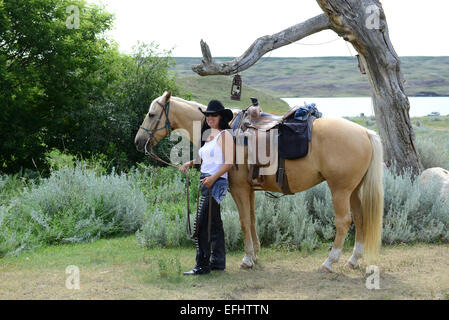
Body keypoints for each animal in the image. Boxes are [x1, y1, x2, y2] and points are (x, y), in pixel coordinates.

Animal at [135, 92, 384, 272]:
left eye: (151, 114)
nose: (138, 141)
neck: (226, 130)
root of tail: (365, 132)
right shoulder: (250, 190)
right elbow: (253, 220)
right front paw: (255, 254)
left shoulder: (239, 189)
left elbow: (245, 221)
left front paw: (247, 258)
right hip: (353, 190)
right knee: (360, 218)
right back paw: (353, 260)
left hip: (340, 190)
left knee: (344, 222)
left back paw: (329, 262)